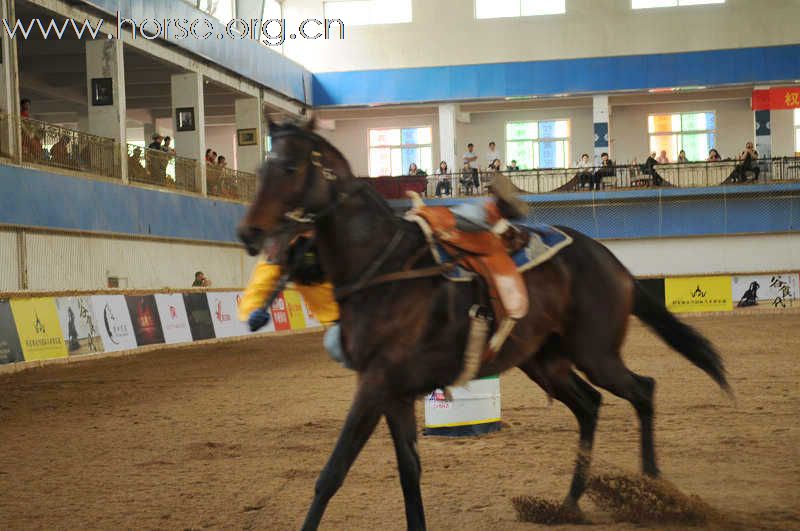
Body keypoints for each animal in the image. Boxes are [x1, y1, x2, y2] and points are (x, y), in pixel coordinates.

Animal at [238, 120, 732, 531]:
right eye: (261, 168)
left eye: (289, 166)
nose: (249, 233)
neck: (386, 268)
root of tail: (614, 264)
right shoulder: (394, 393)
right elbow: (409, 471)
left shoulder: (375, 384)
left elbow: (332, 473)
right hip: (545, 362)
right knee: (590, 406)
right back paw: (569, 504)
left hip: (597, 355)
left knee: (642, 391)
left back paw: (655, 488)